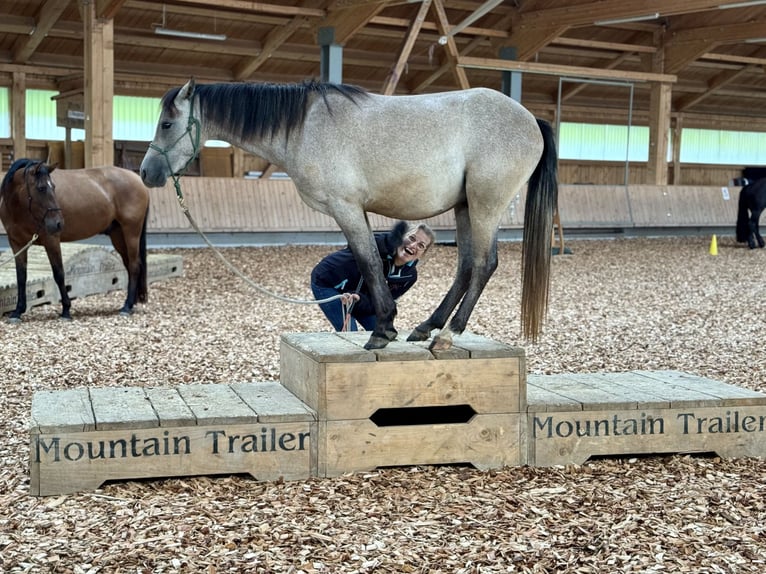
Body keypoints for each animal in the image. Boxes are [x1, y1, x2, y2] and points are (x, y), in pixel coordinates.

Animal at [0, 159, 150, 321]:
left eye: (53, 187)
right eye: (41, 188)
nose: (59, 223)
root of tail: (138, 180)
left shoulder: (51, 239)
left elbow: (59, 274)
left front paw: (66, 310)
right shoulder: (17, 244)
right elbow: (21, 277)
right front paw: (17, 311)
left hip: (131, 232)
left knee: (134, 266)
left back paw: (127, 307)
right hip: (118, 235)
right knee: (129, 265)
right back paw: (130, 303)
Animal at [140, 79, 558, 351]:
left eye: (166, 124)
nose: (146, 173)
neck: (304, 127)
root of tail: (531, 120)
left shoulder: (347, 208)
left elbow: (368, 262)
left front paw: (382, 330)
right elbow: (369, 263)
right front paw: (389, 327)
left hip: (486, 204)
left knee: (485, 264)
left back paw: (447, 335)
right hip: (465, 207)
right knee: (467, 265)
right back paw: (427, 328)